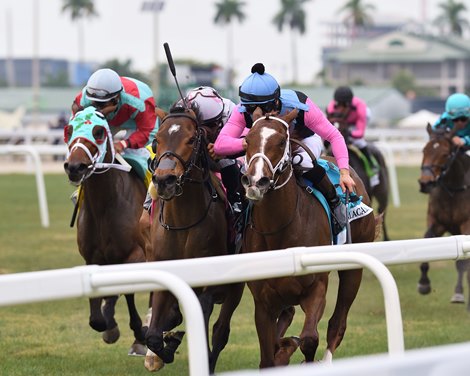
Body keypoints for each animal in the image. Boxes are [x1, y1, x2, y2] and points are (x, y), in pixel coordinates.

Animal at [61, 107, 148, 354]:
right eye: (68, 129)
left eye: (98, 132)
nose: (75, 167)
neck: (104, 207)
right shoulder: (93, 259)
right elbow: (97, 314)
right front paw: (109, 325)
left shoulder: (137, 256)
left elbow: (126, 290)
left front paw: (138, 334)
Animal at [145, 103, 244, 374]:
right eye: (157, 140)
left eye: (191, 139)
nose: (165, 179)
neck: (182, 223)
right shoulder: (165, 271)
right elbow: (153, 336)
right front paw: (165, 347)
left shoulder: (209, 283)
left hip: (236, 285)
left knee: (220, 332)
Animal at [241, 108, 376, 368]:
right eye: (247, 140)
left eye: (281, 141)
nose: (256, 181)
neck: (280, 230)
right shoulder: (263, 302)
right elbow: (269, 355)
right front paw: (283, 350)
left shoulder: (316, 288)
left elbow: (309, 339)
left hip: (353, 269)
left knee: (337, 323)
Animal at [418, 124, 470, 312]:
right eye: (424, 150)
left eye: (445, 154)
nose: (425, 183)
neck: (454, 189)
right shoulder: (436, 221)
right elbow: (427, 239)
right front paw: (424, 283)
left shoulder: (466, 225)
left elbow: (463, 265)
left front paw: (460, 295)